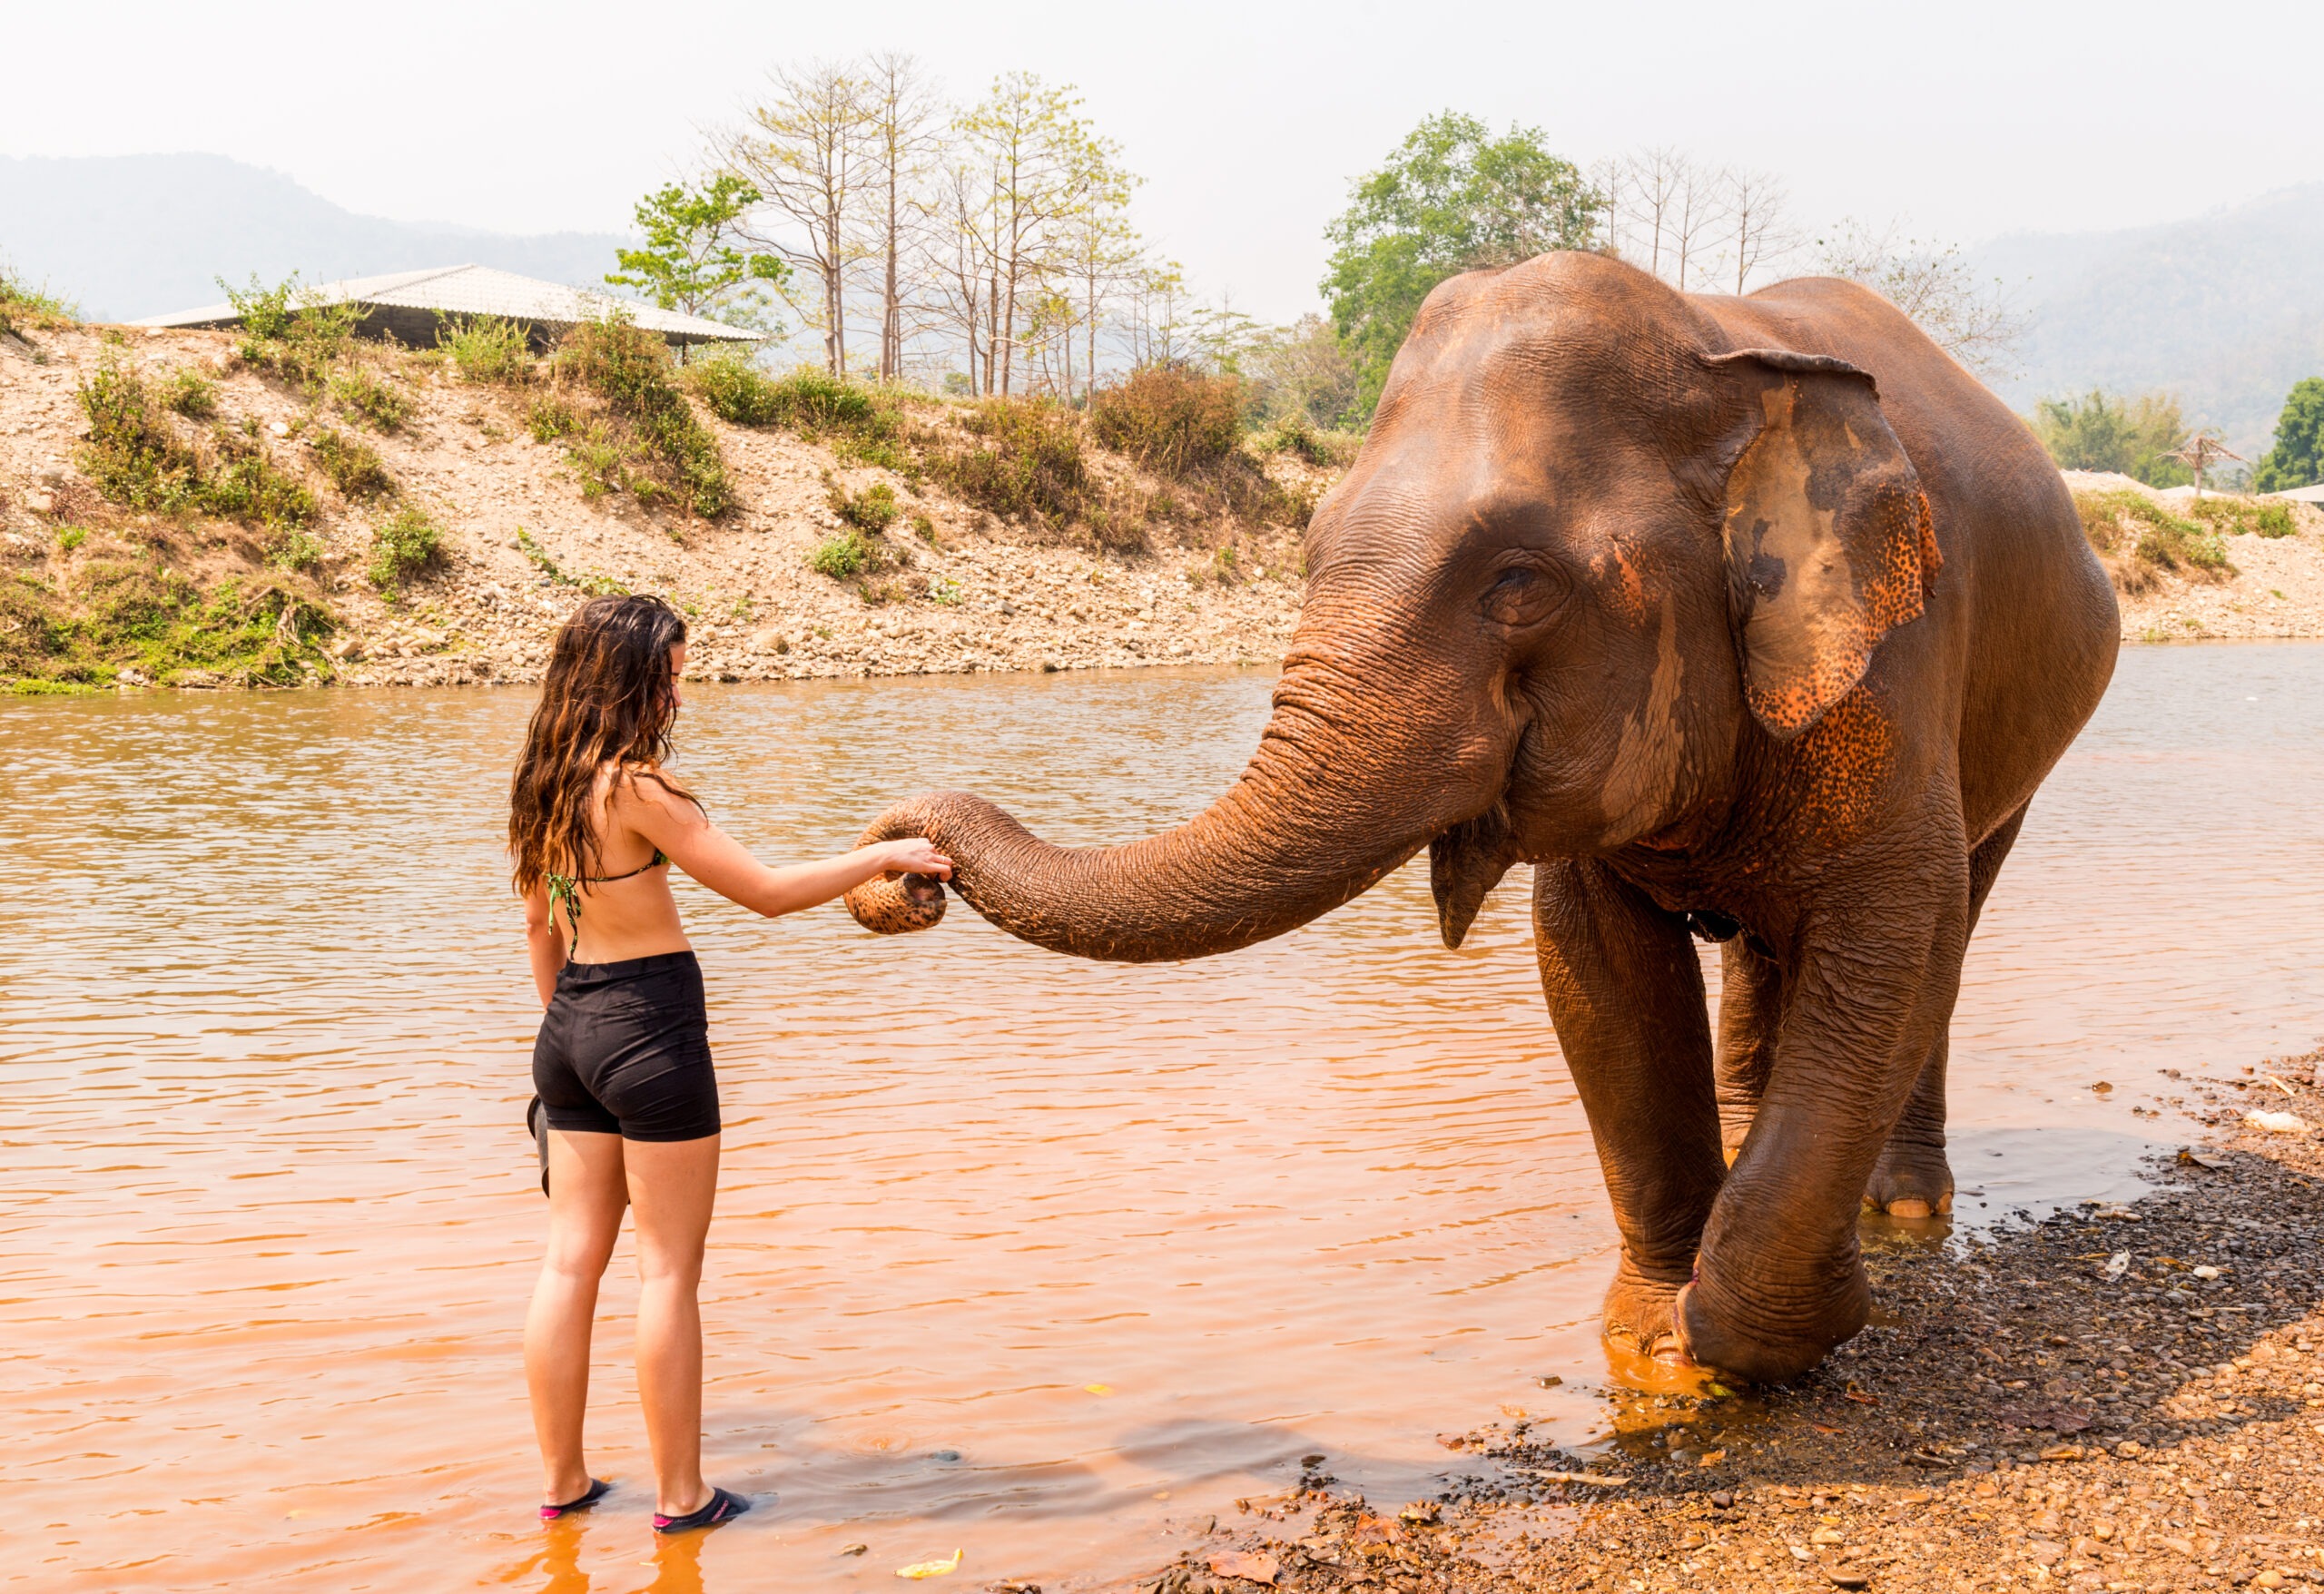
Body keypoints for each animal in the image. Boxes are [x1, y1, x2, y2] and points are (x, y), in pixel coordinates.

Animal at [845, 253, 2119, 1384]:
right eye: (1305, 549)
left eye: (1518, 583)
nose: (898, 864)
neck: (1717, 354)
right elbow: (1597, 975)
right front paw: (1648, 1338)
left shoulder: (1893, 664)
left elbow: (1891, 936)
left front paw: (1769, 1334)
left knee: (1947, 927)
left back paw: (1901, 1209)